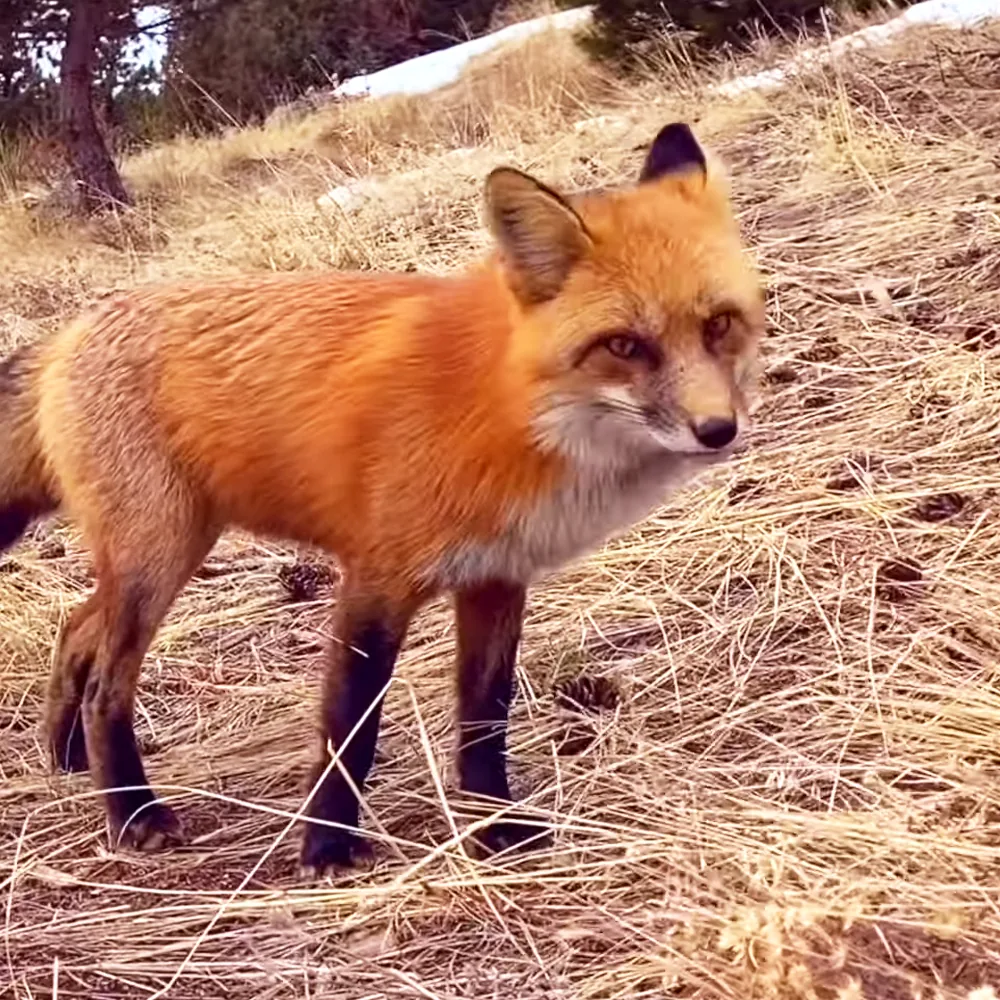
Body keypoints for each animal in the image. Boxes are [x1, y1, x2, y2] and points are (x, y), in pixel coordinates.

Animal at [0, 122, 764, 873]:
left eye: (719, 324)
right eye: (624, 346)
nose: (717, 430)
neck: (508, 406)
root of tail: (70, 333)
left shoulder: (495, 577)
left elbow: (484, 716)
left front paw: (495, 828)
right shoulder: (376, 578)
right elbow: (350, 726)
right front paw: (326, 848)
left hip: (156, 554)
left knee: (75, 631)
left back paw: (66, 758)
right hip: (162, 555)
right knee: (105, 684)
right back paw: (133, 813)